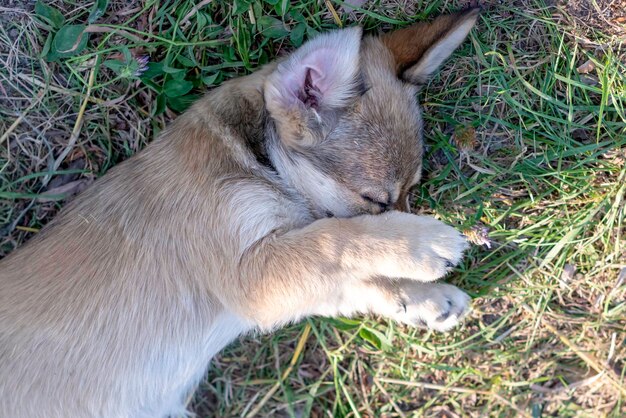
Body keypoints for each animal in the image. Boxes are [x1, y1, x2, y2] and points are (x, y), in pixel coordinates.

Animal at [0, 8, 478, 416]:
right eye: (376, 201)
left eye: (411, 193)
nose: (411, 216)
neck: (250, 161)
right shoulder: (252, 275)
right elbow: (335, 238)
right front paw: (421, 243)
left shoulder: (280, 282)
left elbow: (352, 279)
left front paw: (421, 298)